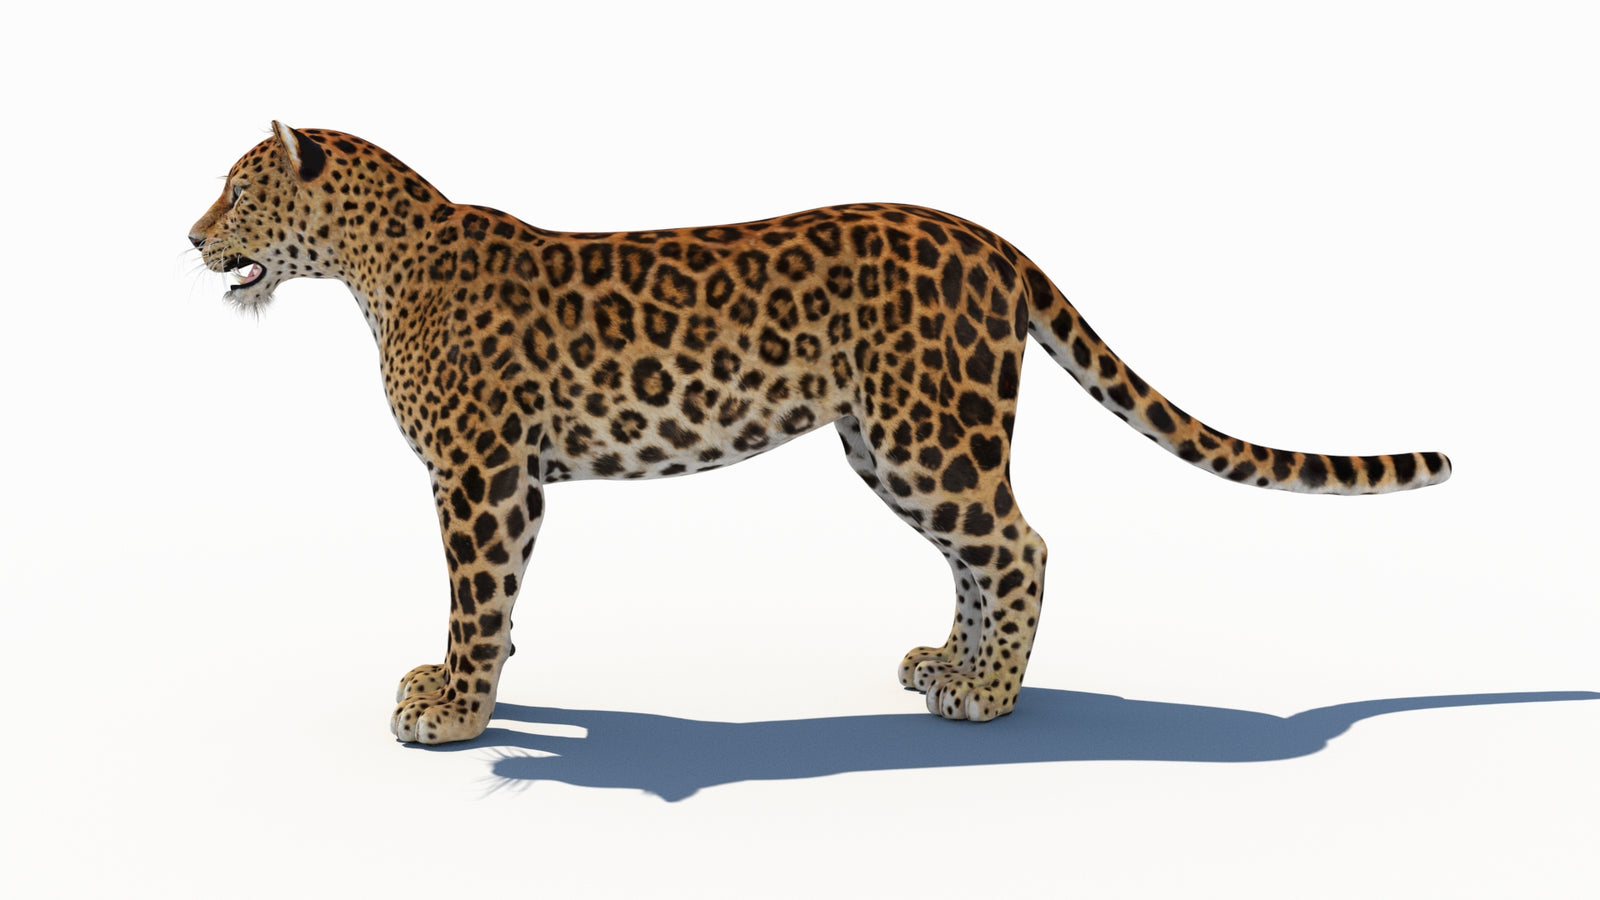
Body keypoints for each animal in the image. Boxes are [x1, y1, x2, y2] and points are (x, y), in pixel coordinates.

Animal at [190, 122, 1451, 744]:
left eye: (239, 192)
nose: (191, 238)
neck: (374, 263)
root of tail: (993, 241)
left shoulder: (481, 473)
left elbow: (475, 594)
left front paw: (454, 710)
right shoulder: (507, 478)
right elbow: (494, 605)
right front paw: (475, 691)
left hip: (926, 436)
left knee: (1020, 544)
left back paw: (990, 695)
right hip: (893, 444)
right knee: (984, 552)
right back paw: (951, 664)